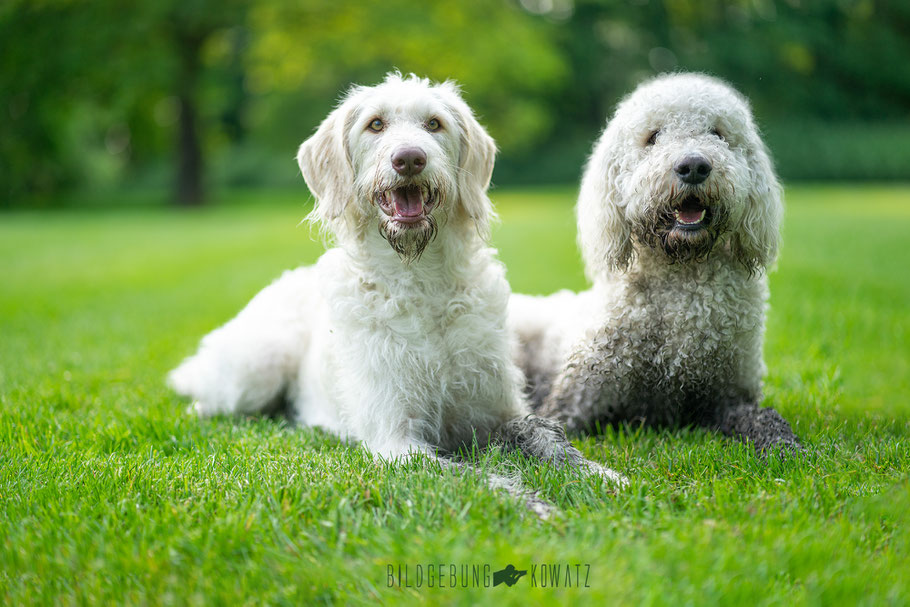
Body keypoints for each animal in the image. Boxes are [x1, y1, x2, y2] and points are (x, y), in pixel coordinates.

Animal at [169, 73, 628, 516]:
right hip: (259, 365)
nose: (409, 159)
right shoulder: (397, 440)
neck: (421, 280)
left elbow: (550, 443)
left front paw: (606, 479)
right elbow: (477, 477)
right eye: (376, 124)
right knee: (203, 401)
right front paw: (533, 504)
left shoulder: (498, 411)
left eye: (434, 124)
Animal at [512, 72, 804, 456]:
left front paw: (786, 446)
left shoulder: (730, 398)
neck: (681, 273)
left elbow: (766, 419)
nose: (693, 166)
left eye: (718, 133)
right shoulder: (575, 400)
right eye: (653, 137)